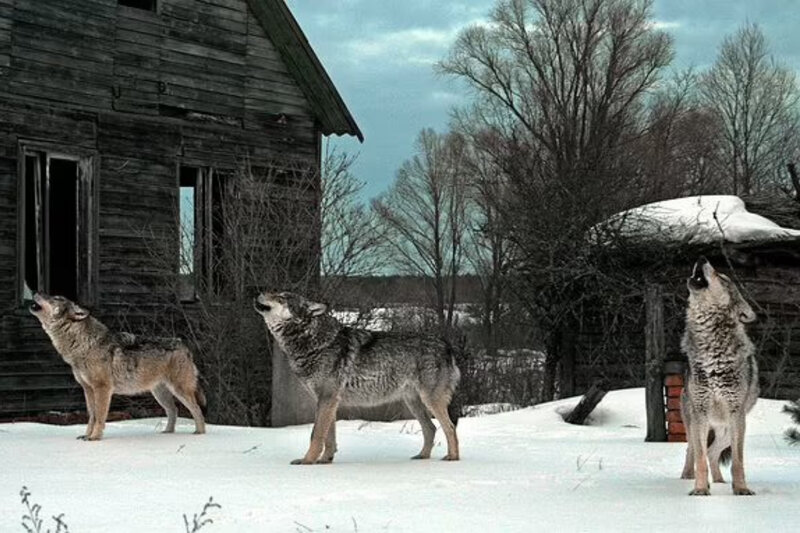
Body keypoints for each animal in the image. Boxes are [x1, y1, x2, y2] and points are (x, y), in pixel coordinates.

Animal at [30, 294, 206, 438]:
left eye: (56, 298)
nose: (36, 292)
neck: (83, 343)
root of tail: (184, 346)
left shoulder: (102, 388)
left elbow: (100, 416)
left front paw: (95, 438)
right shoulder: (88, 389)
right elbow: (92, 416)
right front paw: (86, 436)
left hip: (180, 391)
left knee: (197, 410)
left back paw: (199, 434)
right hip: (160, 394)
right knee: (173, 410)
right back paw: (168, 432)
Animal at [253, 290, 460, 462]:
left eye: (281, 297)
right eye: (276, 293)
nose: (259, 292)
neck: (314, 342)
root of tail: (446, 344)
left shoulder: (327, 398)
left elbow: (316, 434)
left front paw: (307, 461)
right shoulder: (329, 401)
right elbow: (329, 437)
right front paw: (325, 460)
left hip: (430, 401)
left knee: (450, 428)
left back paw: (452, 458)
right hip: (414, 403)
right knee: (431, 428)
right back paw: (422, 456)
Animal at [680, 258, 756, 494]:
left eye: (722, 277)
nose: (702, 258)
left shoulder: (736, 415)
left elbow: (738, 461)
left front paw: (741, 489)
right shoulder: (701, 413)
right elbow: (700, 459)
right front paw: (700, 490)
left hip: (726, 431)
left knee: (713, 452)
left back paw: (721, 482)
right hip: (695, 423)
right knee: (693, 450)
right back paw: (687, 477)